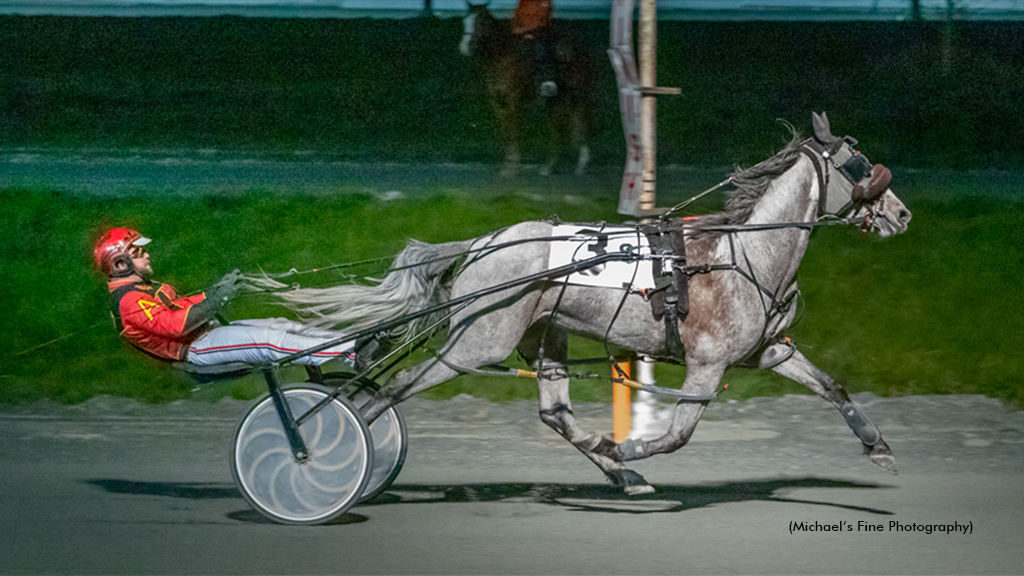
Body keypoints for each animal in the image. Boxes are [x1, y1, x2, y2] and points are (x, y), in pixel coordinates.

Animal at [264, 115, 913, 494]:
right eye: (858, 165)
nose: (902, 214)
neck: (742, 254)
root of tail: (482, 243)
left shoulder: (769, 351)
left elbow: (831, 386)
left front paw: (878, 447)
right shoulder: (708, 365)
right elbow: (678, 433)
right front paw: (630, 443)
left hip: (544, 334)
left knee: (555, 413)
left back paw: (621, 473)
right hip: (477, 342)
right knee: (389, 392)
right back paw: (323, 453)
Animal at [460, 3, 598, 176]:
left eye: (481, 22)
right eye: (465, 21)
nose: (464, 47)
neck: (503, 57)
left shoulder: (514, 101)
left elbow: (514, 130)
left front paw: (513, 167)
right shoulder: (498, 103)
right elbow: (505, 132)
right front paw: (508, 165)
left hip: (579, 94)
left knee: (582, 122)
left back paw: (580, 165)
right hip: (557, 99)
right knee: (559, 126)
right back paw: (550, 166)